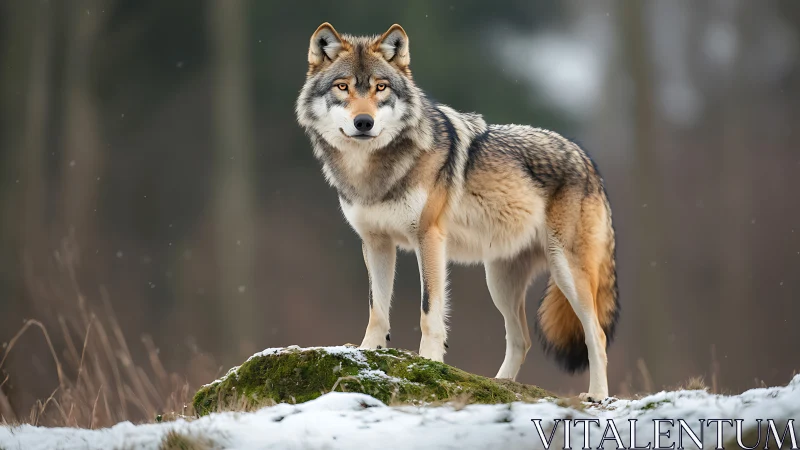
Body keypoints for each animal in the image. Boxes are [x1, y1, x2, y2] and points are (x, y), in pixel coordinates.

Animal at [295, 23, 619, 401]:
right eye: (343, 86)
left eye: (380, 87)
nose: (364, 122)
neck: (372, 172)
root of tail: (587, 160)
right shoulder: (375, 243)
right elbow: (377, 308)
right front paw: (366, 352)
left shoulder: (429, 238)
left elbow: (429, 310)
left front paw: (429, 362)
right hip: (499, 282)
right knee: (521, 339)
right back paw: (498, 385)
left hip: (567, 273)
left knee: (596, 335)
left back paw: (597, 395)